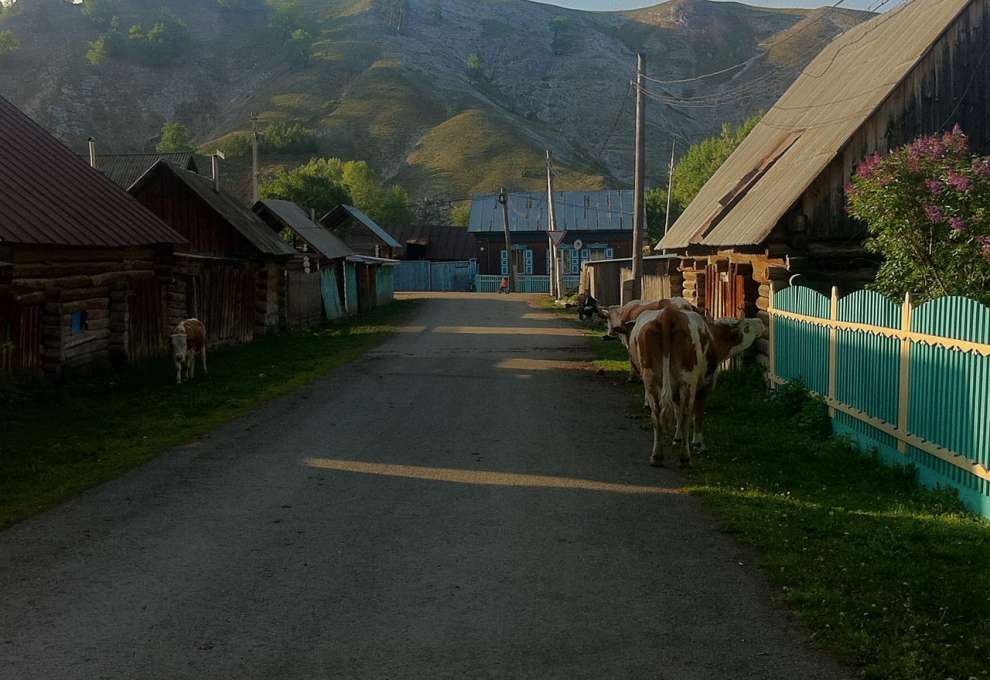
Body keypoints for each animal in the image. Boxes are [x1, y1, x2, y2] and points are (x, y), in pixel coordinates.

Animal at [636, 308, 768, 468]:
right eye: (747, 327)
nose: (760, 322)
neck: (714, 337)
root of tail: (668, 314)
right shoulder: (705, 386)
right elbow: (697, 414)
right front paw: (698, 443)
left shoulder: (676, 392)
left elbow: (677, 411)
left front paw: (677, 438)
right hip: (688, 381)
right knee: (686, 415)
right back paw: (685, 458)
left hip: (650, 380)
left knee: (657, 415)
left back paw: (657, 456)